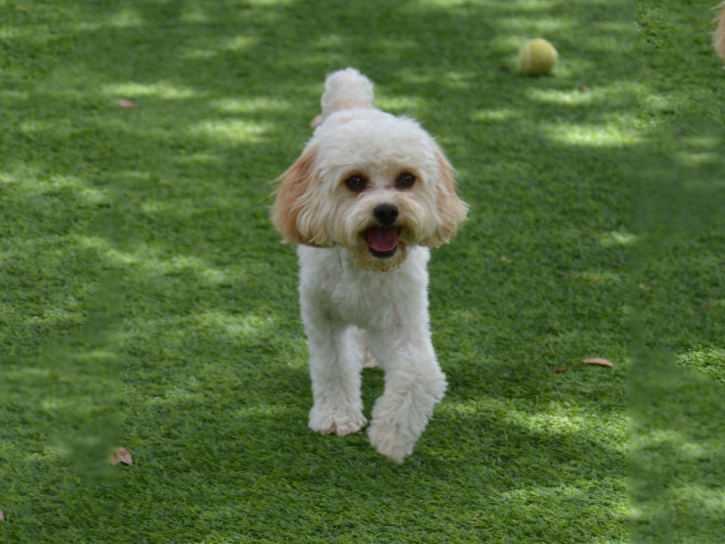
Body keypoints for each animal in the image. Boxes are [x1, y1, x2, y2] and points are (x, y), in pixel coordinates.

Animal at [272, 68, 470, 464]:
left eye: (407, 178)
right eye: (355, 181)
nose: (387, 210)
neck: (364, 266)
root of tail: (355, 104)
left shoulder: (405, 319)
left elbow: (421, 375)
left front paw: (390, 437)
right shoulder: (322, 315)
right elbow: (332, 365)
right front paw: (336, 416)